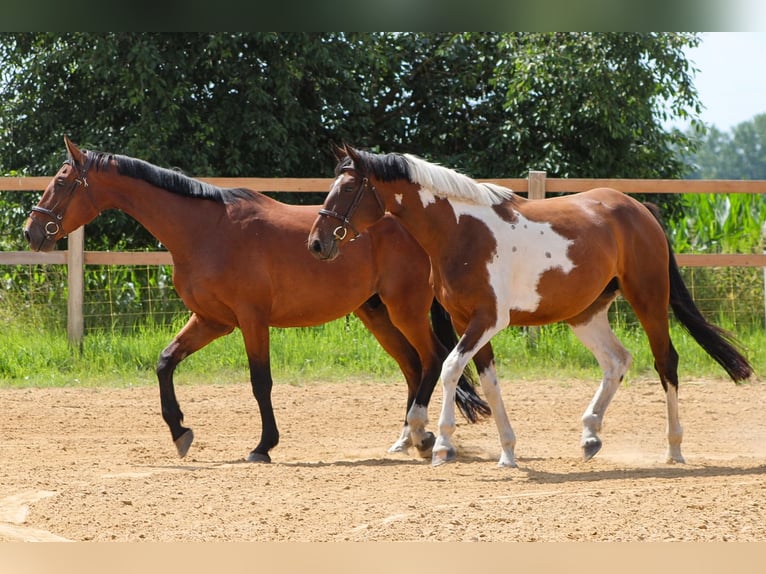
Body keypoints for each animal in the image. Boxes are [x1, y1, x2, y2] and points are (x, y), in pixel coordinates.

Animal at [27, 137, 492, 466]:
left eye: (62, 181)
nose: (32, 231)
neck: (204, 230)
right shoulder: (210, 320)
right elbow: (165, 362)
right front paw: (180, 433)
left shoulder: (251, 320)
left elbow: (259, 382)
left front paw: (263, 445)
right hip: (376, 313)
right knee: (413, 366)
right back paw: (409, 438)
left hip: (405, 309)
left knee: (432, 359)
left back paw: (422, 436)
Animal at [310, 145, 756, 468]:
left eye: (347, 189)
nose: (317, 243)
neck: (460, 231)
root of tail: (638, 209)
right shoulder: (467, 320)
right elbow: (489, 380)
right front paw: (508, 453)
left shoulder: (487, 319)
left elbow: (451, 367)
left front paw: (442, 446)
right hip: (585, 313)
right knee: (617, 361)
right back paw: (590, 436)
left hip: (648, 299)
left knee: (666, 362)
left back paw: (674, 449)